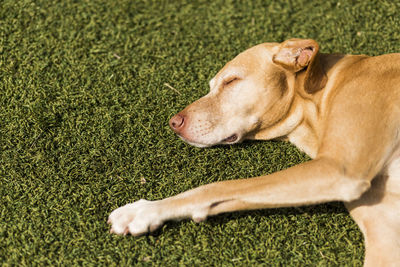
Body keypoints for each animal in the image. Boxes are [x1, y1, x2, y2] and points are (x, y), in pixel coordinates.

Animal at [108, 38, 400, 266]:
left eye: (231, 81)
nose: (173, 123)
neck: (320, 92)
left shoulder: (339, 168)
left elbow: (219, 186)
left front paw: (146, 210)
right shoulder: (384, 232)